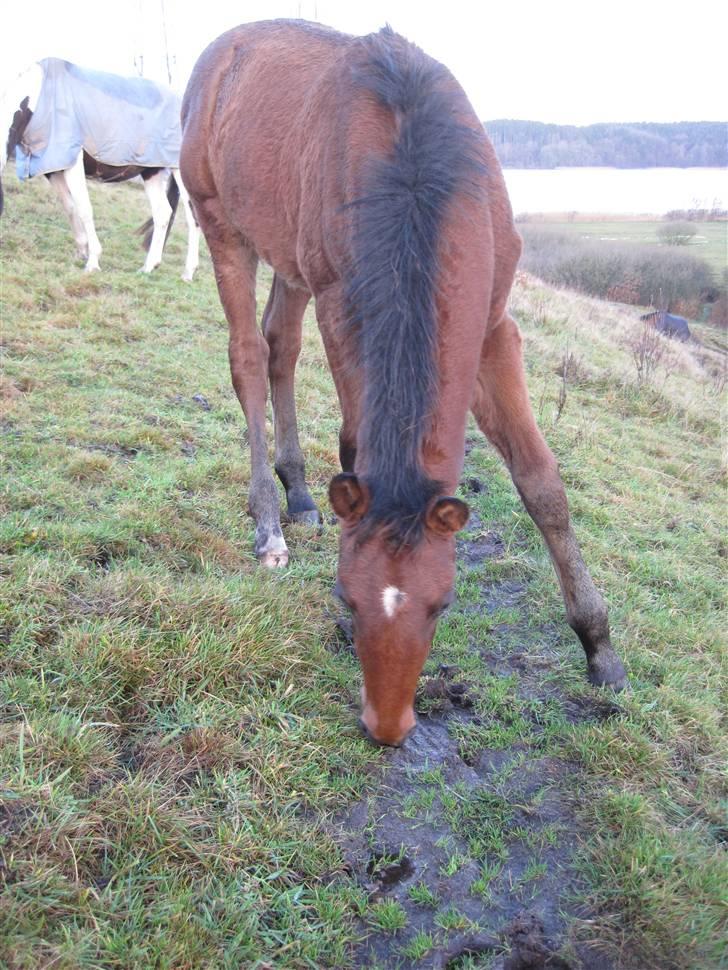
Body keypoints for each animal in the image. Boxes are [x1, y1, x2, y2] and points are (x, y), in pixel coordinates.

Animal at [0, 57, 199, 276]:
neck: (41, 98)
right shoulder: (53, 168)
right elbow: (70, 207)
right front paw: (81, 251)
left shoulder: (72, 162)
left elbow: (84, 208)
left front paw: (93, 261)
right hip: (151, 171)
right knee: (162, 213)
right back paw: (149, 266)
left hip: (179, 172)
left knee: (193, 217)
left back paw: (188, 272)